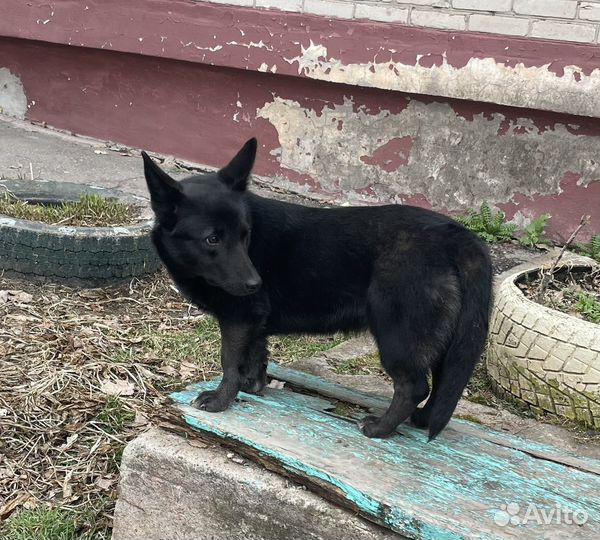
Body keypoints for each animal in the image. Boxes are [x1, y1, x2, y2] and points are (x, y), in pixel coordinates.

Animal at [142, 139, 492, 438]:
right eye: (212, 239)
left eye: (245, 234)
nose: (255, 283)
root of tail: (456, 235)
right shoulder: (254, 323)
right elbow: (255, 357)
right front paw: (252, 386)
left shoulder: (239, 319)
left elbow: (230, 362)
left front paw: (220, 400)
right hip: (441, 341)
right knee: (442, 383)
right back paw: (421, 419)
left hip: (397, 336)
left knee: (414, 386)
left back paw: (379, 428)